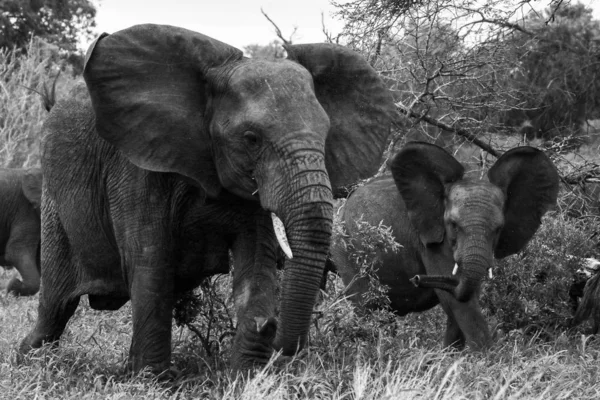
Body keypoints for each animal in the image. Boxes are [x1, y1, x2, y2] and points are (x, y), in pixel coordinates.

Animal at [18, 25, 396, 374]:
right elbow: (150, 260)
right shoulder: (137, 167)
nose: (275, 335)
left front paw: (246, 376)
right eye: (251, 138)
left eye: (326, 134)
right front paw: (152, 381)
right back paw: (29, 359)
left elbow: (256, 260)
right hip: (53, 208)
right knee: (55, 306)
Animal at [328, 143, 556, 350]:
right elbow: (457, 301)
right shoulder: (431, 240)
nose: (417, 279)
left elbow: (462, 297)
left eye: (498, 229)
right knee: (367, 307)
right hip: (345, 250)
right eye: (453, 224)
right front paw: (486, 359)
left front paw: (451, 357)